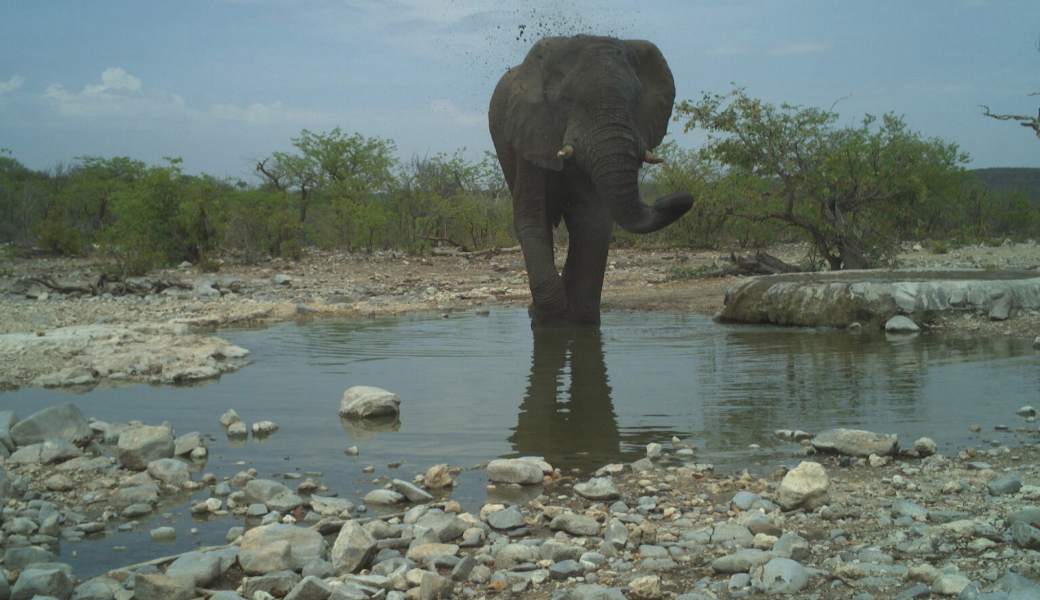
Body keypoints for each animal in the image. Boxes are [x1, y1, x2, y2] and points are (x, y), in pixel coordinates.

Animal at [490, 34, 694, 324]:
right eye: (567, 99)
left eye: (636, 101)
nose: (671, 197)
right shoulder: (531, 133)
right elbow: (532, 218)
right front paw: (546, 316)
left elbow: (594, 223)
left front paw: (580, 318)